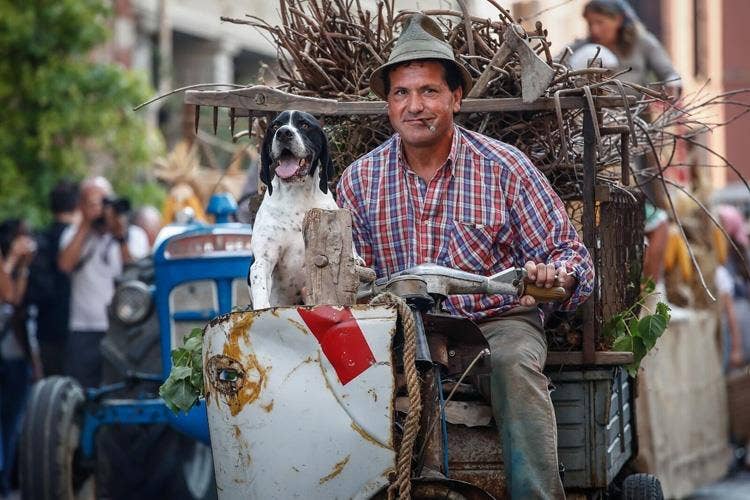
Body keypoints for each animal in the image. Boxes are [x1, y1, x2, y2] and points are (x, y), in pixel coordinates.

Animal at [247, 110, 340, 308]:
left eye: (304, 125)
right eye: (275, 126)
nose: (283, 133)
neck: (298, 194)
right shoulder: (264, 259)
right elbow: (259, 280)